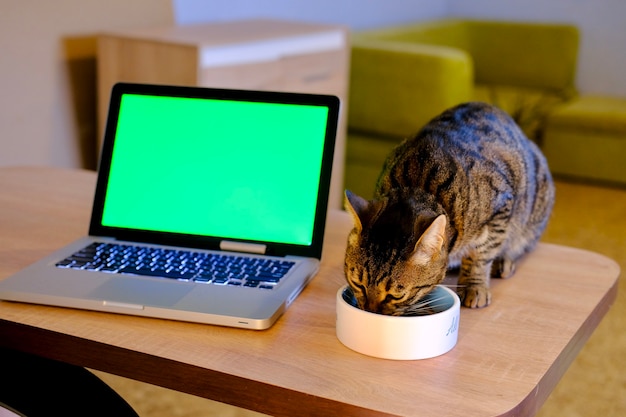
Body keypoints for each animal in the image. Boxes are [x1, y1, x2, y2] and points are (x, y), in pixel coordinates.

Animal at [344, 102, 552, 314]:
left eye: (395, 295)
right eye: (357, 284)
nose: (369, 312)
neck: (417, 185)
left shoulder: (501, 206)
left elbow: (480, 255)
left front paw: (474, 285)